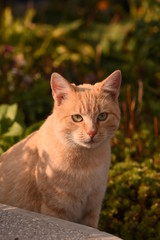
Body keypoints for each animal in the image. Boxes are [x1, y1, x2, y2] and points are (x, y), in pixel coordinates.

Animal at [0, 70, 120, 229]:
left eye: (102, 116)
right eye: (77, 118)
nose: (92, 132)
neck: (87, 162)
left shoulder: (92, 209)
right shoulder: (57, 210)